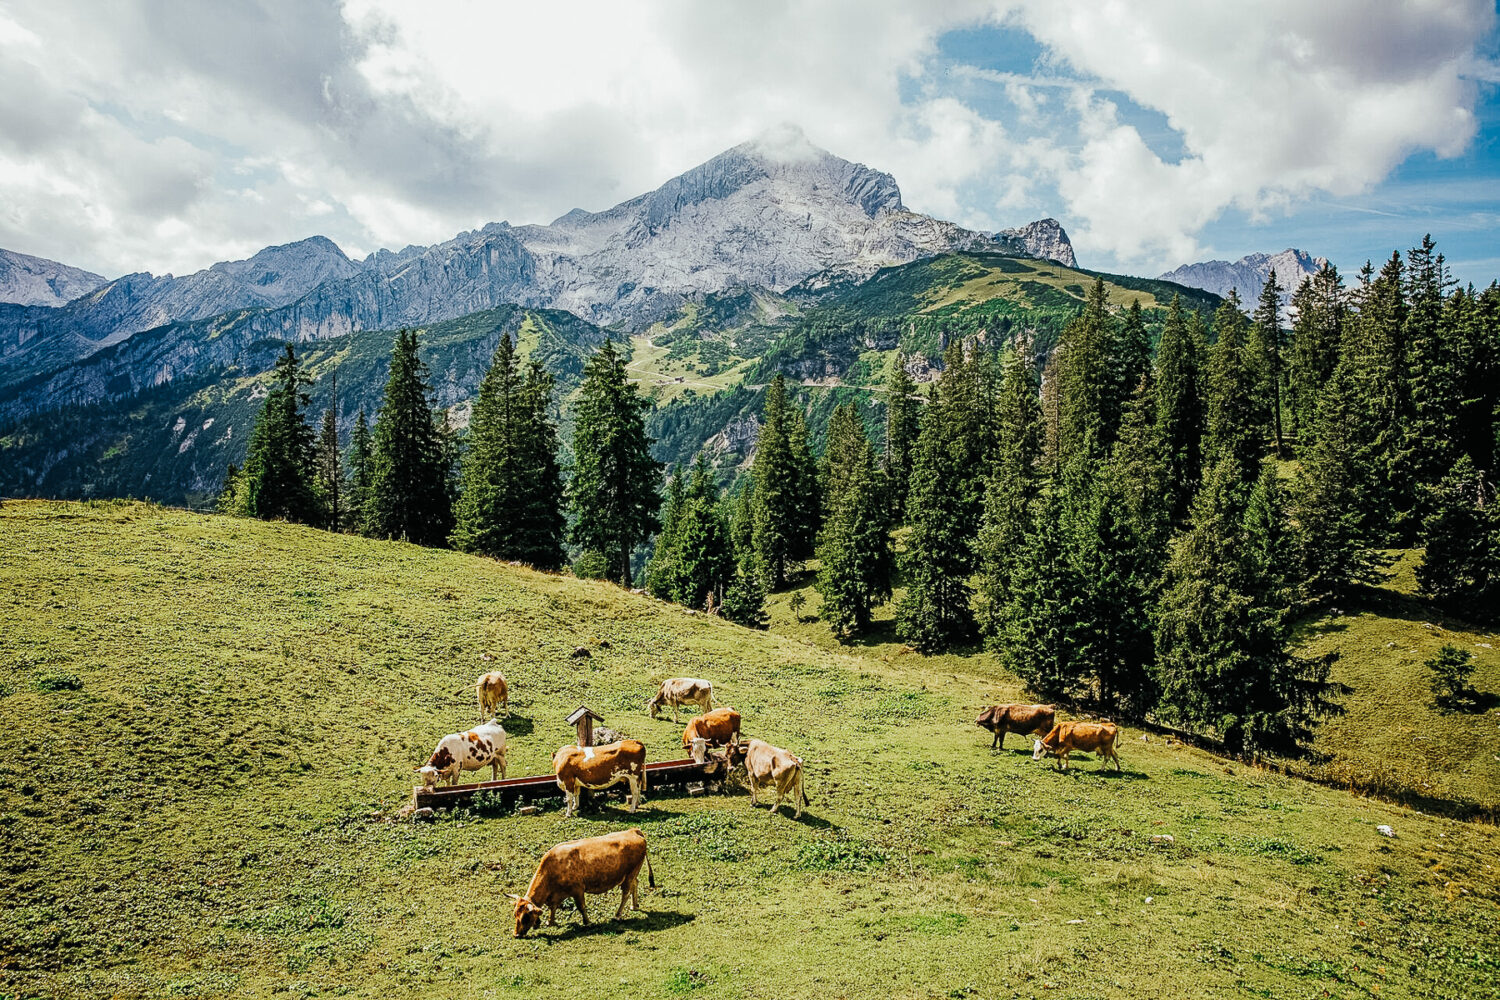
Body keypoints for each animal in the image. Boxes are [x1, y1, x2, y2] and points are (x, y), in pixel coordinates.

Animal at [513, 827, 654, 935]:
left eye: (525, 917)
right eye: (515, 914)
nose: (516, 935)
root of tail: (632, 831)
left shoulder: (578, 890)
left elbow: (581, 907)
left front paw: (587, 922)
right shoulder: (556, 895)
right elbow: (553, 907)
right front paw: (550, 921)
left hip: (629, 874)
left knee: (625, 893)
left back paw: (618, 915)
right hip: (633, 873)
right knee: (635, 884)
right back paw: (634, 906)